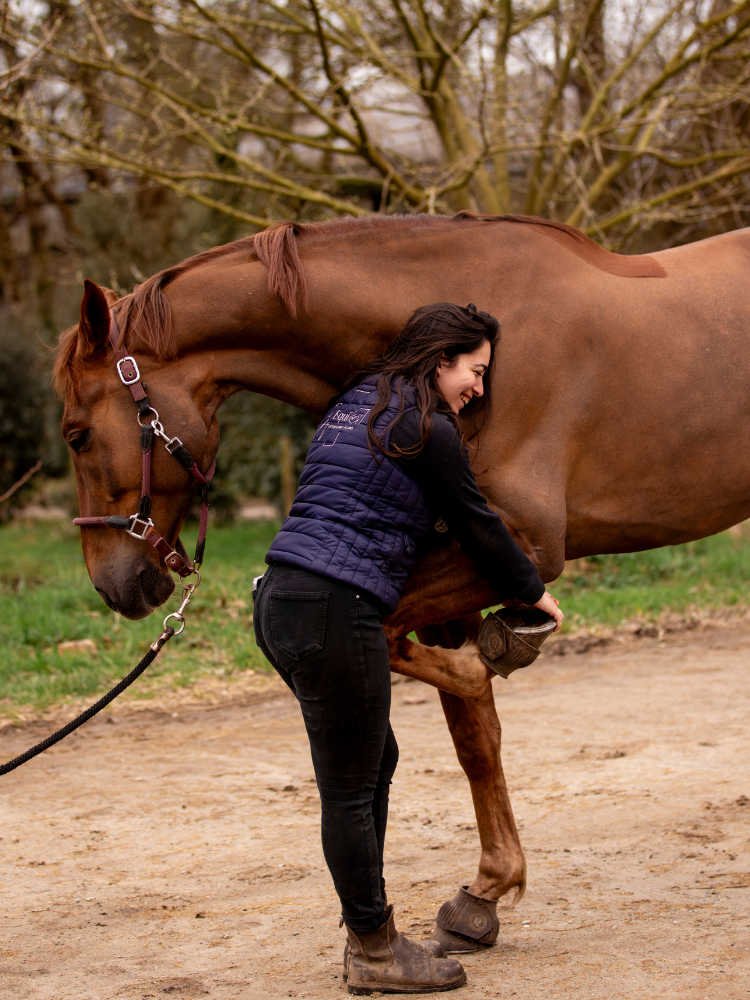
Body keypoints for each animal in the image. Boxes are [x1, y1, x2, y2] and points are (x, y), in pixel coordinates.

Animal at [54, 211, 750, 948]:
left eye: (76, 435)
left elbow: (415, 645)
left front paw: (494, 653)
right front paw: (486, 893)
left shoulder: (519, 542)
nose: (115, 586)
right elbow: (474, 737)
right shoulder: (461, 557)